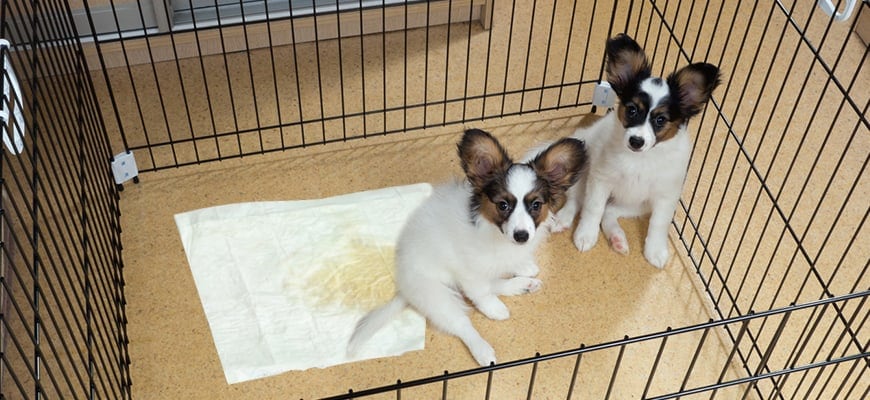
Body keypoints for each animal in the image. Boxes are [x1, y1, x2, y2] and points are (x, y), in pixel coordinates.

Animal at [348, 128, 584, 366]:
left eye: (536, 205)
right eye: (503, 205)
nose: (521, 236)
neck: (494, 232)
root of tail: (404, 289)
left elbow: (500, 272)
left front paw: (523, 265)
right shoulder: (468, 269)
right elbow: (481, 293)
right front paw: (493, 308)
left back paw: (522, 284)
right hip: (434, 294)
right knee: (461, 322)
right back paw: (483, 349)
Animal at [560, 32, 724, 268]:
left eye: (660, 119)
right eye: (632, 110)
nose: (636, 141)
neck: (640, 160)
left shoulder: (665, 195)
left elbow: (658, 223)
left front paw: (655, 251)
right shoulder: (601, 179)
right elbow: (593, 208)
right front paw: (585, 235)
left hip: (637, 203)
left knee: (610, 212)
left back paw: (617, 239)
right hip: (583, 170)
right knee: (577, 199)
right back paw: (563, 219)